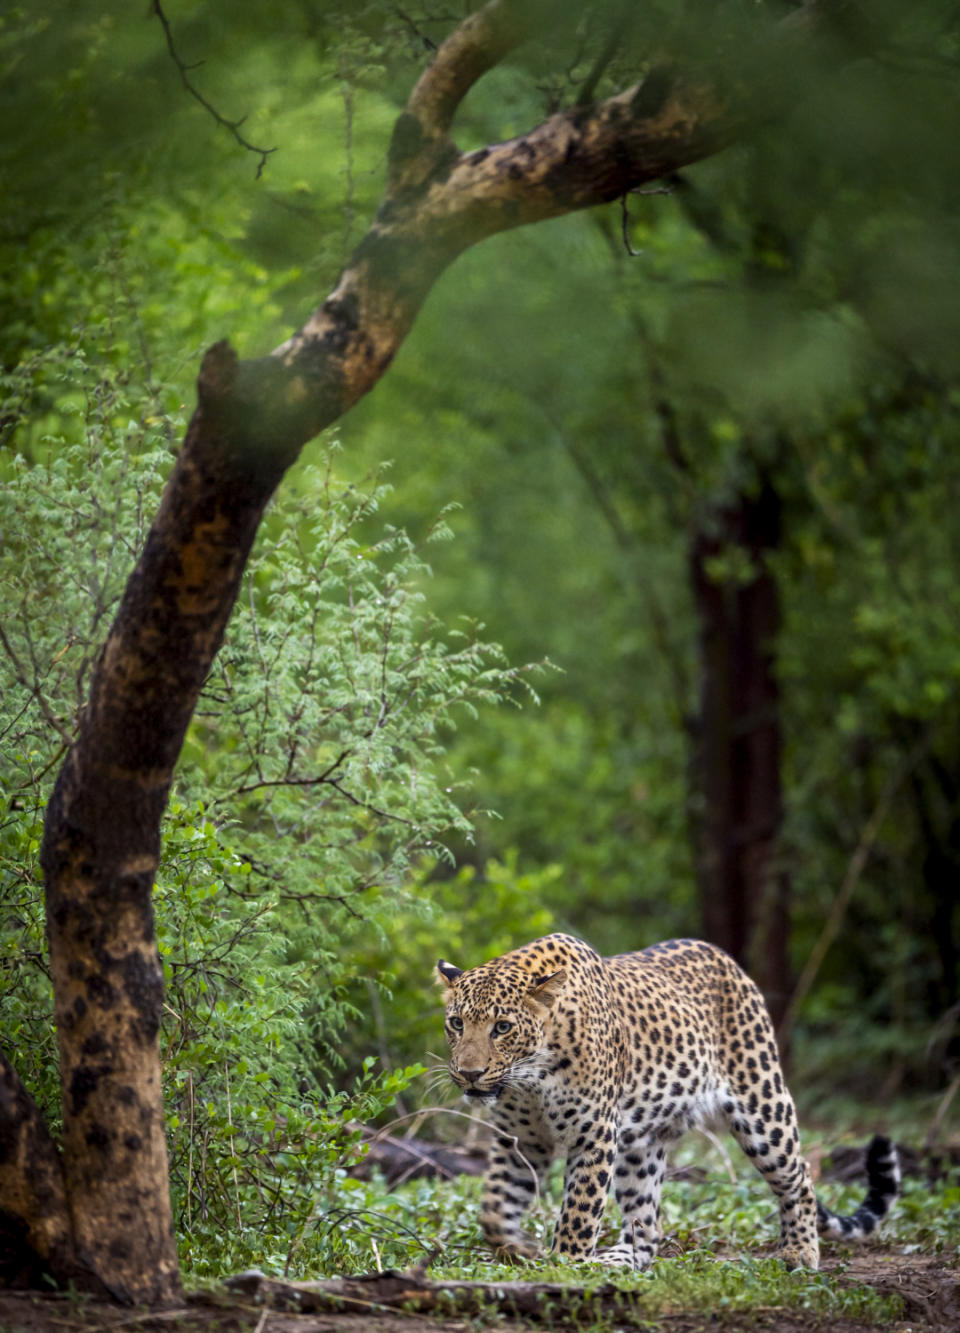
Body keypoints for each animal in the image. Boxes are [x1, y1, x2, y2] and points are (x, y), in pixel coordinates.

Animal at [437, 933, 901, 1263]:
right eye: (456, 1023)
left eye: (502, 1027)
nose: (470, 1073)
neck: (530, 1079)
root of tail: (725, 958)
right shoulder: (520, 1139)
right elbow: (495, 1205)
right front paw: (517, 1248)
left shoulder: (594, 1135)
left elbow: (579, 1212)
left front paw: (564, 1267)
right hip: (641, 1146)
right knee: (646, 1226)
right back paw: (617, 1262)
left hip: (763, 1105)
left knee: (800, 1175)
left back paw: (800, 1252)